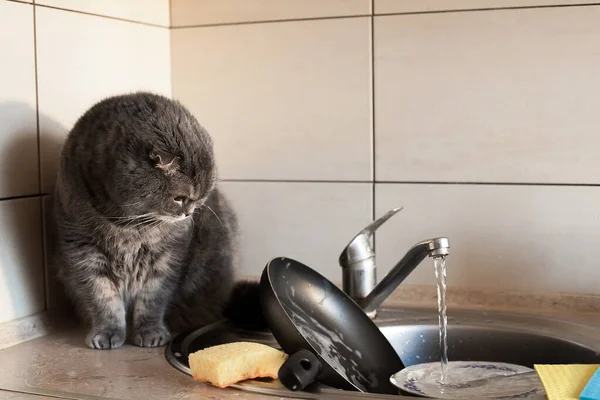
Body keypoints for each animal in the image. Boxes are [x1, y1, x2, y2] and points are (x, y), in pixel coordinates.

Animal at [52, 92, 258, 348]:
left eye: (201, 198)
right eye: (180, 198)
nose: (189, 213)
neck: (129, 225)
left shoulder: (167, 259)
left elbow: (152, 301)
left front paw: (151, 332)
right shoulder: (84, 252)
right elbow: (102, 300)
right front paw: (107, 332)